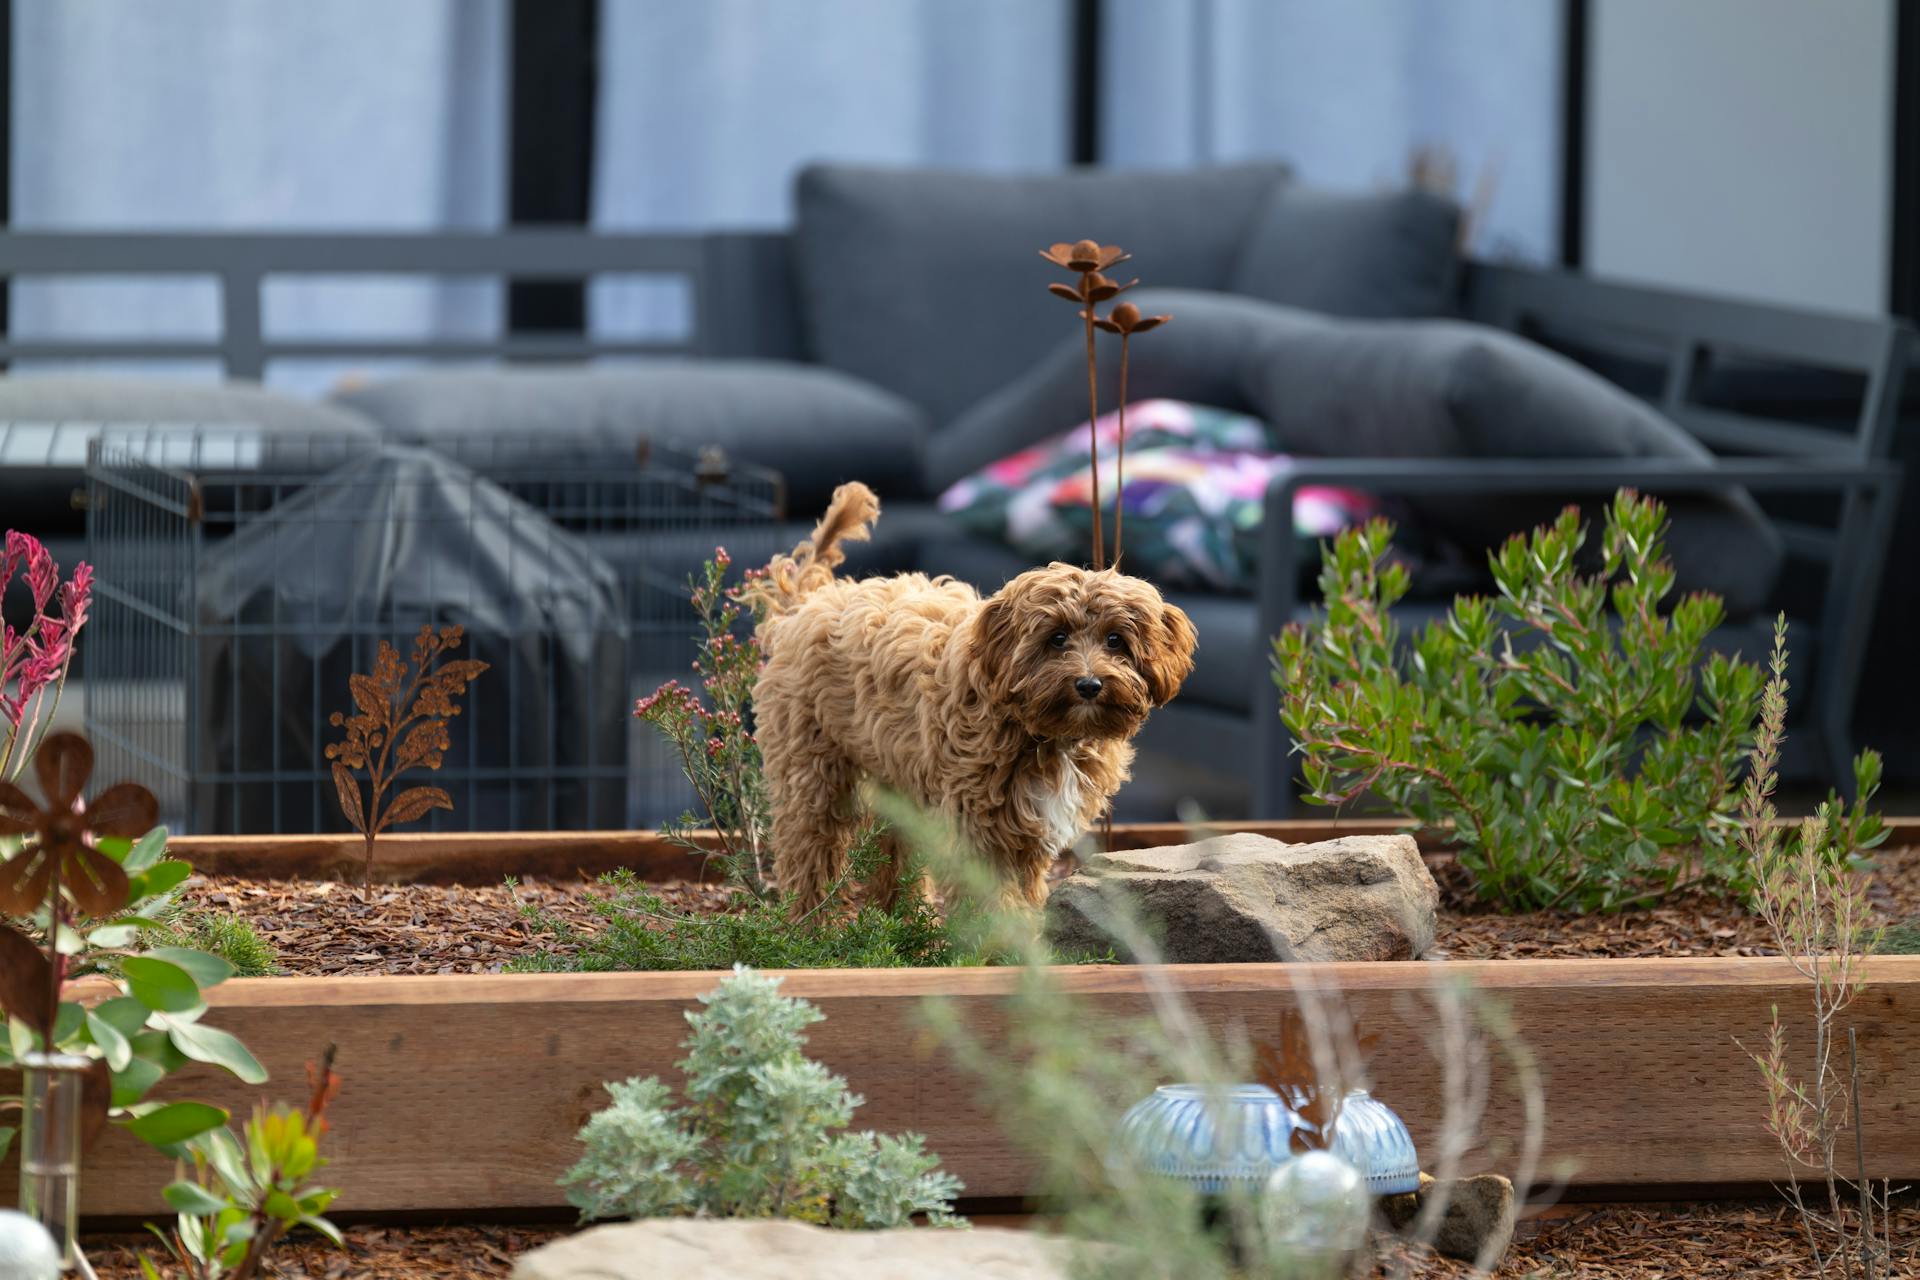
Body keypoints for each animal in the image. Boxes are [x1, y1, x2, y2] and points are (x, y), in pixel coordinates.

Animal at [741, 477, 1190, 909]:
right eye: (1057, 638)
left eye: (1115, 640)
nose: (1089, 685)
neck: (1043, 733)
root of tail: (806, 604)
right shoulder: (979, 827)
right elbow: (991, 907)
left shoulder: (1026, 832)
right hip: (812, 771)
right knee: (808, 852)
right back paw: (812, 922)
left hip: (896, 776)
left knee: (891, 851)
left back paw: (901, 916)